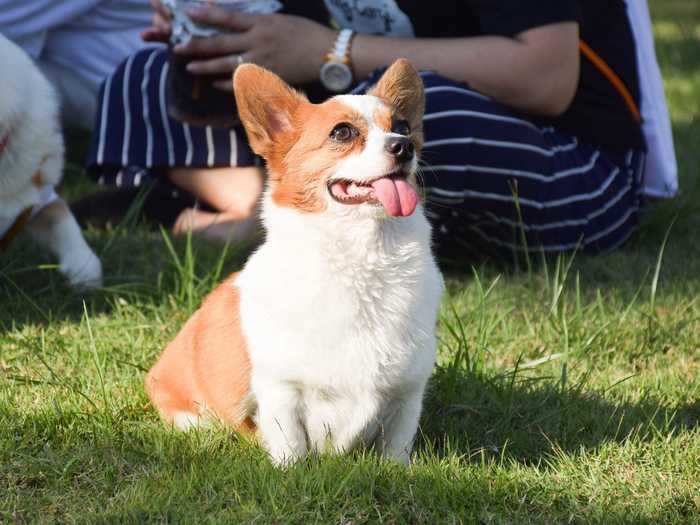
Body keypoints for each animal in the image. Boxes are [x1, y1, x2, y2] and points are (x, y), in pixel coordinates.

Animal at [146, 59, 442, 464]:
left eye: (403, 126)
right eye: (343, 132)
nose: (405, 146)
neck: (363, 255)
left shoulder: (408, 390)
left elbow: (397, 442)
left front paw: (397, 469)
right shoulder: (281, 388)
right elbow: (291, 443)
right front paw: (291, 470)